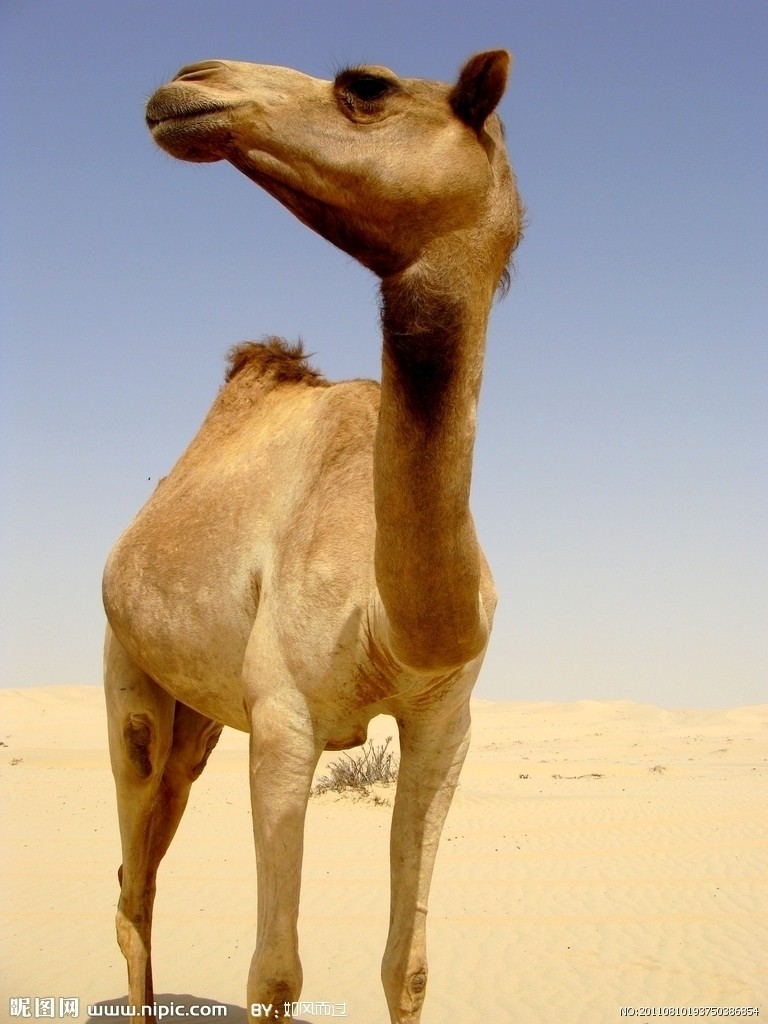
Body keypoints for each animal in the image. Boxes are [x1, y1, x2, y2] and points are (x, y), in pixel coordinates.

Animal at [102, 50, 523, 1024]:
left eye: (364, 88)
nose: (190, 83)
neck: (383, 618)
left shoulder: (446, 723)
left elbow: (407, 965)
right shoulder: (285, 718)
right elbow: (275, 973)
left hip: (200, 718)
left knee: (147, 859)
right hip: (127, 677)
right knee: (133, 885)